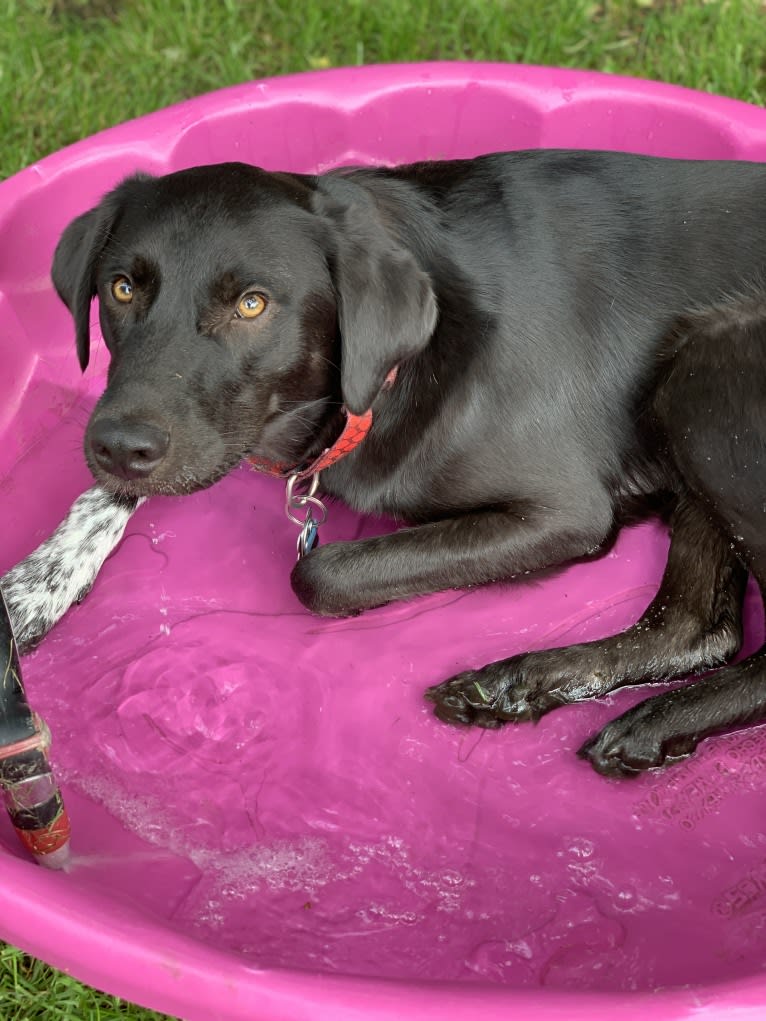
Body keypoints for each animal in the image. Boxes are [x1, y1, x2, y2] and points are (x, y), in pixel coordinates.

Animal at [51, 151, 766, 771]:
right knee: (694, 628)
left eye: (251, 303)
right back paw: (516, 687)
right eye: (121, 288)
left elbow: (319, 572)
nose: (118, 447)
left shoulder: (567, 512)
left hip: (704, 363)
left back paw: (643, 720)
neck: (381, 385)